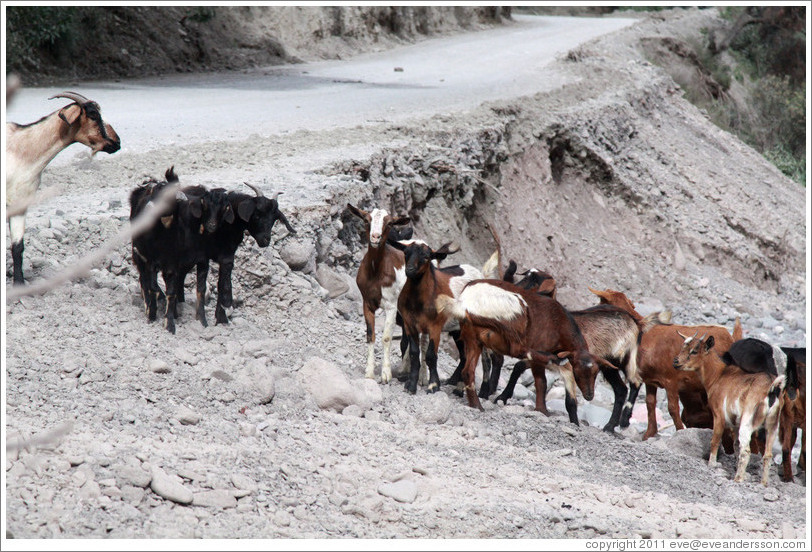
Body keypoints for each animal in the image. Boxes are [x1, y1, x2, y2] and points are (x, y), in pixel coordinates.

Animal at [5, 91, 120, 284]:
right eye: (93, 115)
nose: (117, 142)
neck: (22, 149)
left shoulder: (20, 203)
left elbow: (17, 247)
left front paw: (19, 284)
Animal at [344, 204, 410, 384]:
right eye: (367, 220)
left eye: (389, 223)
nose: (375, 237)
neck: (375, 272)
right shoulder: (367, 303)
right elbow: (370, 335)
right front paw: (369, 372)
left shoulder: (391, 305)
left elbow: (386, 337)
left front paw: (386, 374)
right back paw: (404, 368)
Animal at [438, 280, 604, 422]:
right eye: (579, 372)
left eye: (596, 372)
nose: (589, 395)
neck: (559, 324)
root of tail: (465, 303)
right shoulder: (540, 349)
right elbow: (541, 382)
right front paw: (543, 411)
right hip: (513, 319)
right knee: (518, 350)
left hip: (473, 339)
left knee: (468, 371)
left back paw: (476, 405)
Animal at [676, 330, 784, 486]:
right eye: (682, 347)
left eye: (694, 351)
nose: (676, 362)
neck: (719, 376)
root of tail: (771, 389)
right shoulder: (735, 423)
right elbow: (735, 446)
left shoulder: (719, 415)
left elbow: (716, 440)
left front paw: (712, 464)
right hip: (772, 425)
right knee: (767, 454)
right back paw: (763, 483)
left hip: (748, 421)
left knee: (746, 451)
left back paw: (737, 479)